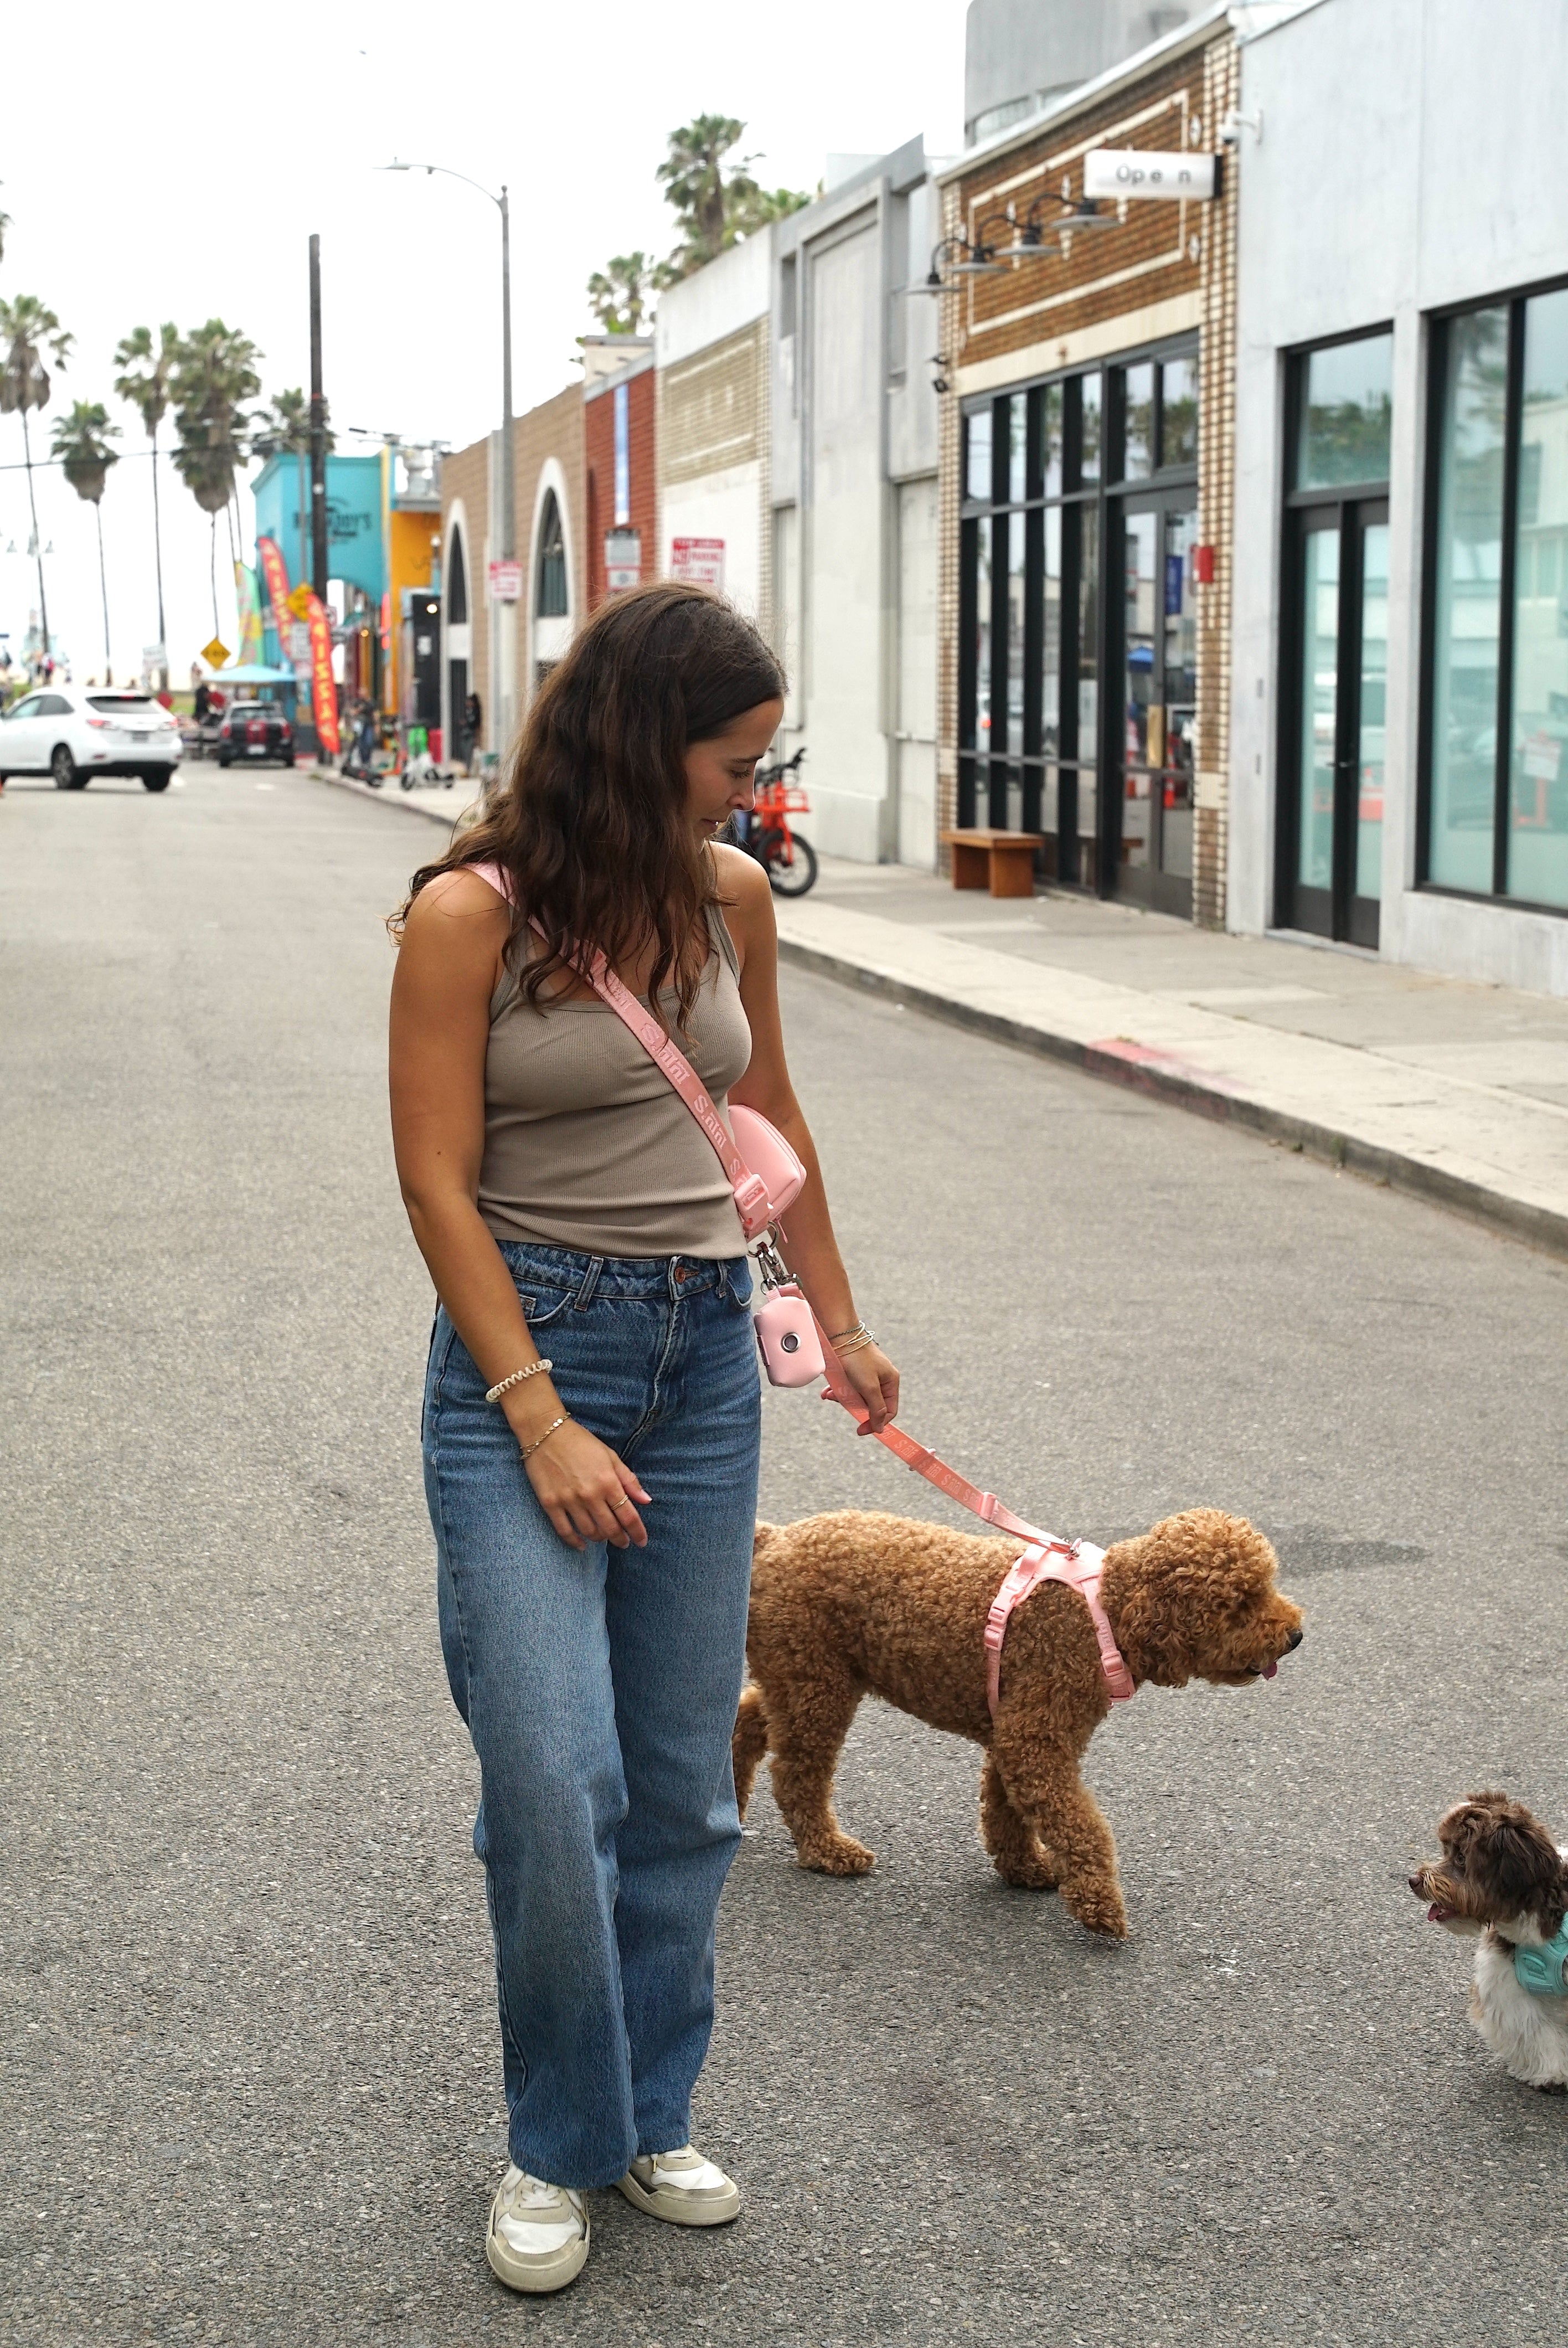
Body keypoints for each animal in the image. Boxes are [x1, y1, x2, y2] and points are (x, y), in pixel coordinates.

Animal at [741, 1512, 1305, 1934]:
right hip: (818, 1683)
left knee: (749, 1717)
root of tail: (774, 1540)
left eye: (1265, 1587)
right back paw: (826, 1850)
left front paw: (1025, 1869)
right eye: (1240, 1602)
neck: (1109, 1611)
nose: (1296, 1636)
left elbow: (1006, 1810)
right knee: (797, 1775)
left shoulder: (1015, 1730)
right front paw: (1101, 1905)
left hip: (799, 1676)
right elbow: (1079, 1826)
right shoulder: (1036, 1736)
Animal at [1408, 1794, 1568, 2094]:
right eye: (1446, 1851)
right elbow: (1534, 2030)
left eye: (1461, 1858)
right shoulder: (1505, 1980)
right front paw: (1552, 2074)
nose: (1414, 1881)